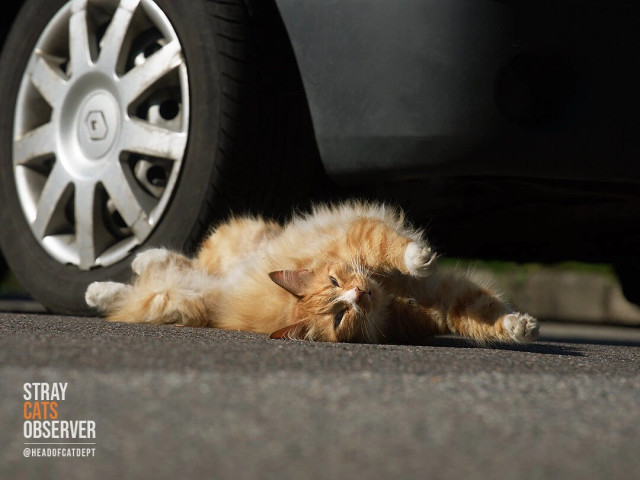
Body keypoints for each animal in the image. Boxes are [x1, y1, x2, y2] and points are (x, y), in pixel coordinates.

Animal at [82, 202, 536, 344]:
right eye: (339, 313)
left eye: (336, 283)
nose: (360, 295)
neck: (389, 298)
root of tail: (218, 294)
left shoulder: (442, 293)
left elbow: (485, 312)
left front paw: (519, 325)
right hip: (180, 304)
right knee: (148, 289)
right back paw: (98, 290)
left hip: (230, 249)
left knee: (181, 262)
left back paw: (131, 264)